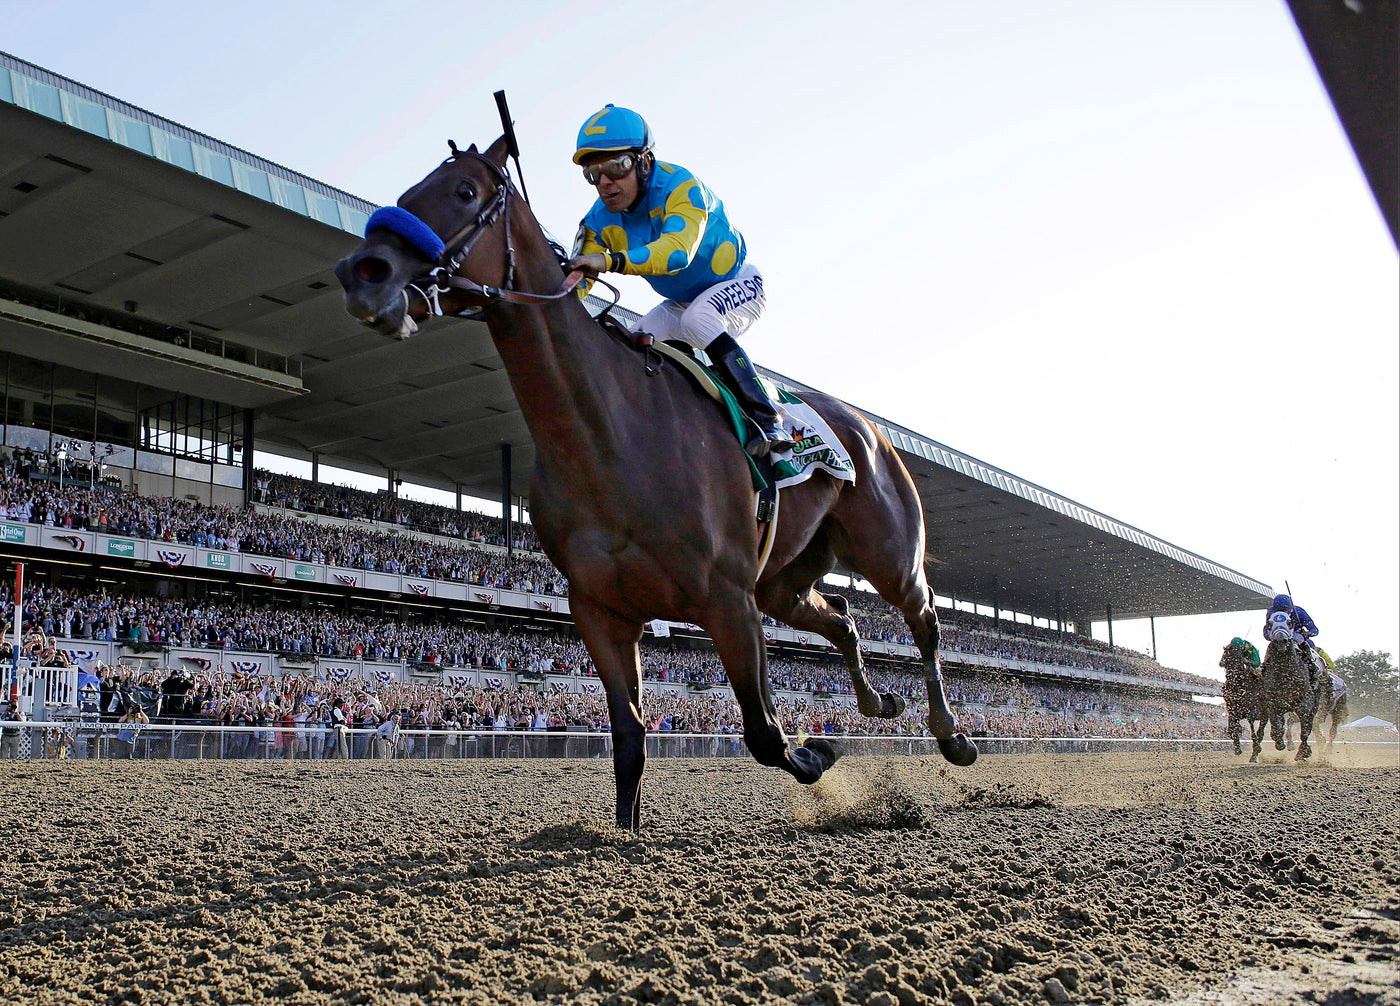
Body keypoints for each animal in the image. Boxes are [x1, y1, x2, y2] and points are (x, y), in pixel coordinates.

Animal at [335, 135, 977, 828]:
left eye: (464, 192)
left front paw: (819, 752)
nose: (361, 273)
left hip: (886, 551)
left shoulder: (727, 599)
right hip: (783, 579)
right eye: (408, 191)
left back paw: (952, 734)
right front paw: (624, 832)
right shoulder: (601, 610)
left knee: (923, 617)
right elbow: (629, 737)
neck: (611, 436)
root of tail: (862, 425)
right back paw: (879, 702)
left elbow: (764, 732)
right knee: (842, 619)